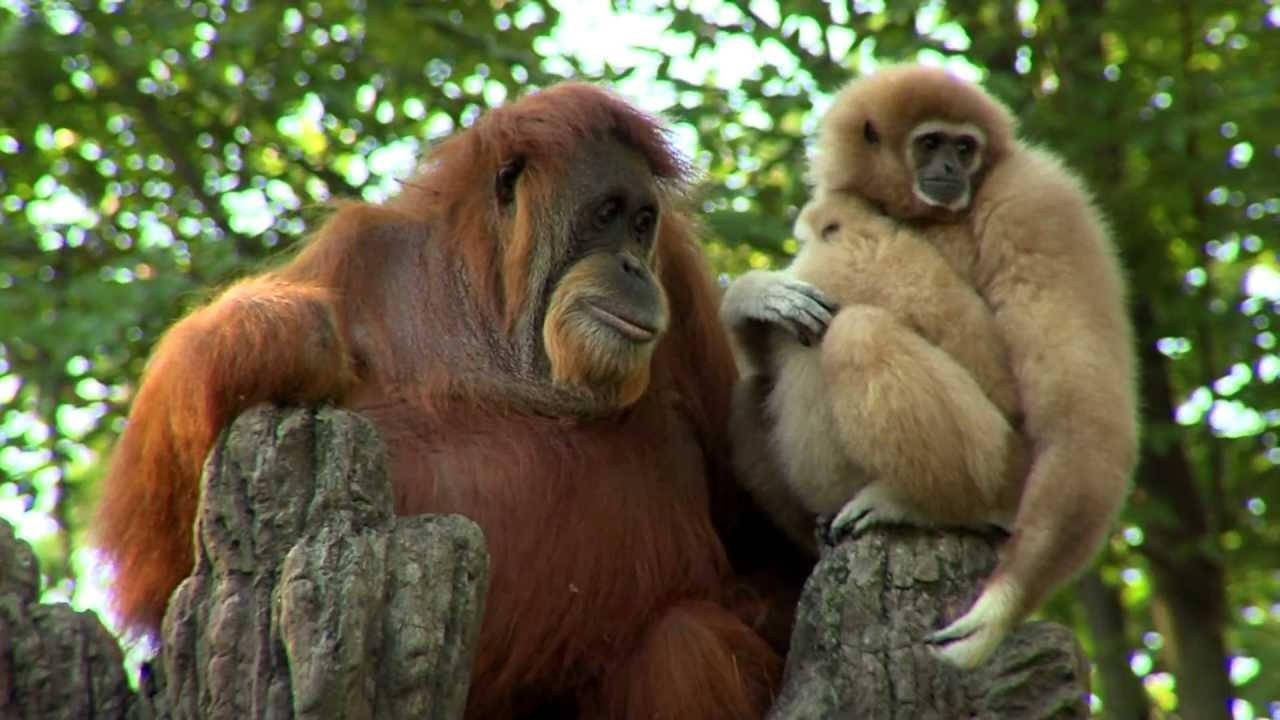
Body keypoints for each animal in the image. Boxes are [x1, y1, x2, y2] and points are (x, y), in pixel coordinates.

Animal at [721, 63, 1138, 669]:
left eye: (965, 148)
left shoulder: (1036, 200)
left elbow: (1079, 414)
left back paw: (922, 505)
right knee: (753, 388)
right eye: (931, 143)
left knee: (858, 326)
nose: (949, 169)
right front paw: (753, 293)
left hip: (1001, 461)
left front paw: (998, 611)